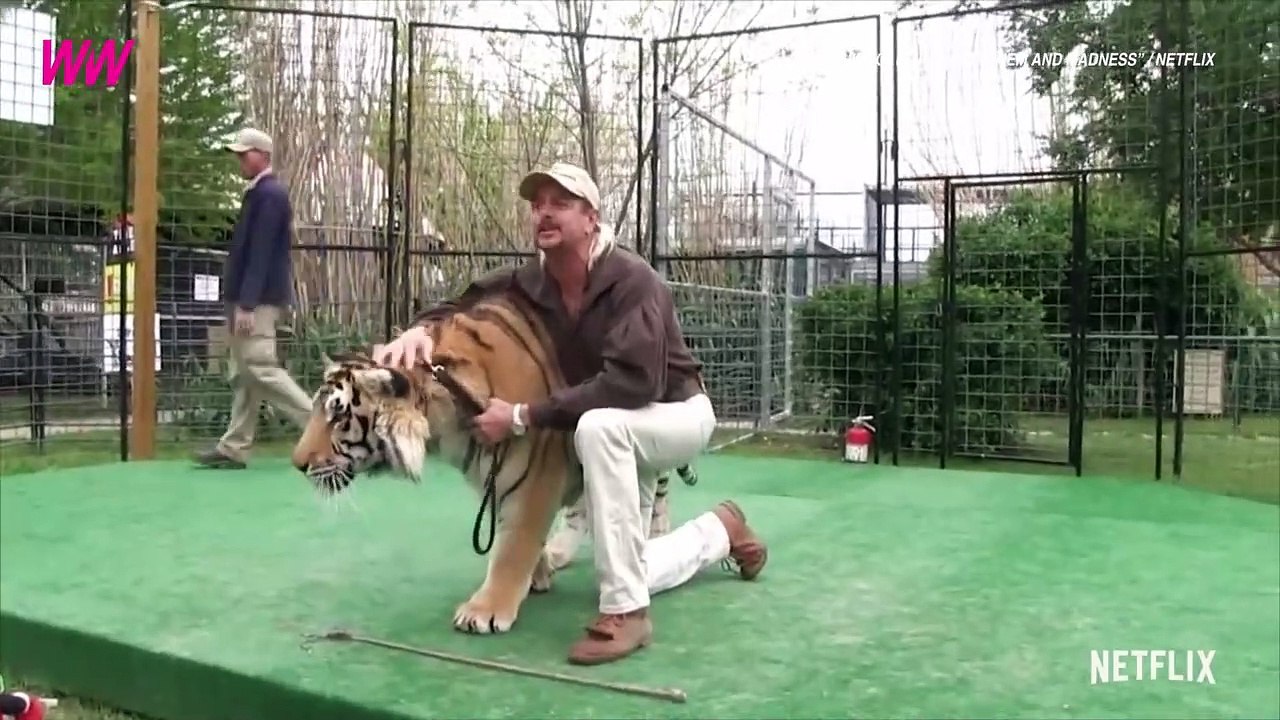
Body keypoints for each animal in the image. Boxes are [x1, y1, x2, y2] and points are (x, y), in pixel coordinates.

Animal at [290, 291, 696, 636]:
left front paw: (485, 610)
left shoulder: (535, 478)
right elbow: (515, 538)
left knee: (654, 497)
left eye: (337, 415)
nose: (297, 464)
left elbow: (512, 545)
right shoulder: (496, 480)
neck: (447, 420)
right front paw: (539, 573)